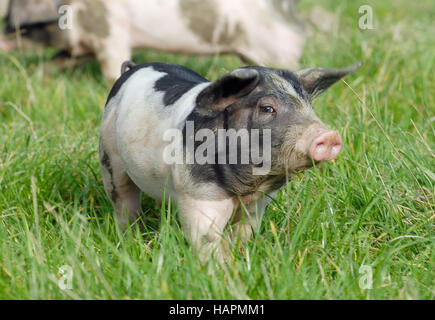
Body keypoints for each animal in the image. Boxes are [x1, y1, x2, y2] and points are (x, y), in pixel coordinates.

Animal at [0, 0, 306, 80]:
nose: (2, 42)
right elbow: (57, 61)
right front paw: (40, 77)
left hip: (274, 48)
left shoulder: (112, 34)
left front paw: (111, 82)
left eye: (21, 26)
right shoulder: (82, 48)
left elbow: (111, 66)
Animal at [99, 61, 362, 258]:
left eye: (308, 106)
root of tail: (133, 68)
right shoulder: (197, 195)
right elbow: (206, 240)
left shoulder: (257, 205)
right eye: (267, 108)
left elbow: (243, 233)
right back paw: (131, 239)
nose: (329, 135)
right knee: (124, 201)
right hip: (109, 155)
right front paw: (220, 271)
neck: (246, 187)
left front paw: (240, 257)